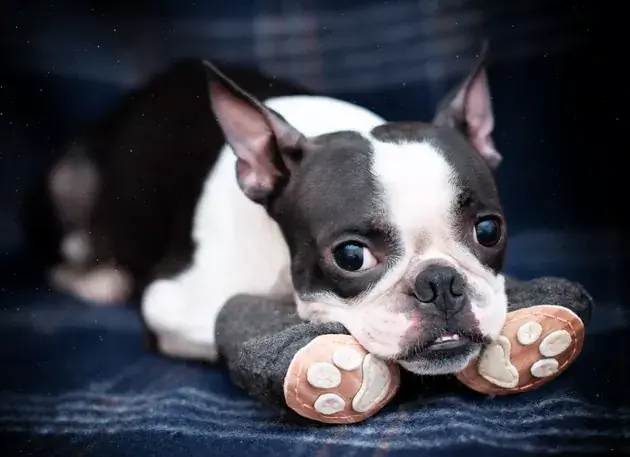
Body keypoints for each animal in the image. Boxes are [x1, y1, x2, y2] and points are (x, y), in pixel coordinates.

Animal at [34, 44, 508, 376]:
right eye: (350, 256)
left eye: (489, 231)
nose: (441, 282)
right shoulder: (170, 303)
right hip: (66, 178)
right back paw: (98, 278)